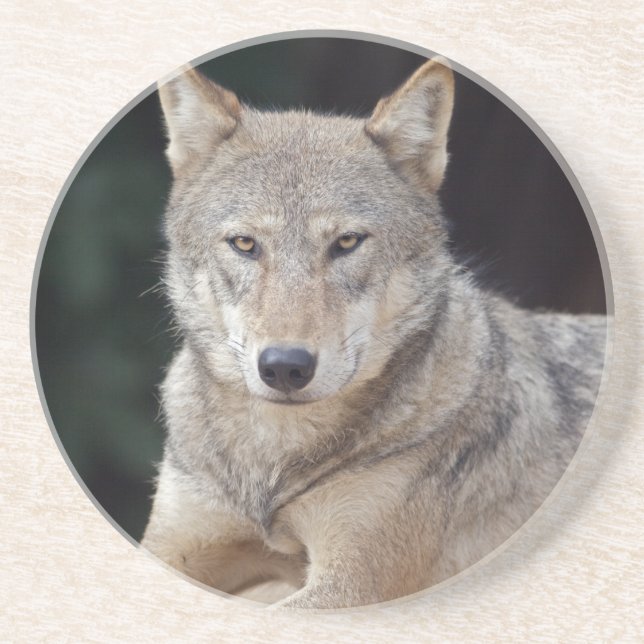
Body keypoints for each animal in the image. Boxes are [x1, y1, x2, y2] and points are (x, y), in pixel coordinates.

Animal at [141, 56, 606, 609]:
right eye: (245, 244)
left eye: (346, 242)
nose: (285, 367)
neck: (273, 468)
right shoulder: (174, 543)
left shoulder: (351, 582)